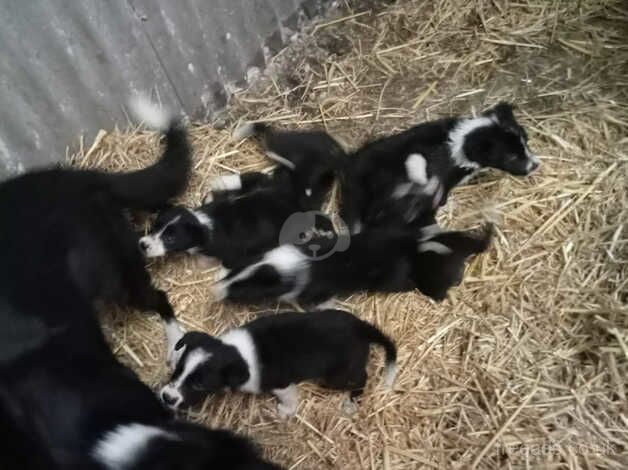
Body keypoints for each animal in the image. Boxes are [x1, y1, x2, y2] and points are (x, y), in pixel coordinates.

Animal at [138, 122, 348, 268]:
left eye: (170, 239)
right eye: (155, 225)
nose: (143, 245)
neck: (203, 223)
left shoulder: (232, 255)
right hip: (270, 182)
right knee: (254, 177)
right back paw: (221, 180)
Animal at [162, 310, 398, 416]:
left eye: (200, 384)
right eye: (178, 369)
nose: (166, 397)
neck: (235, 353)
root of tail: (362, 328)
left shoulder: (281, 384)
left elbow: (289, 399)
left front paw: (285, 412)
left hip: (337, 375)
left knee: (362, 377)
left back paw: (351, 402)